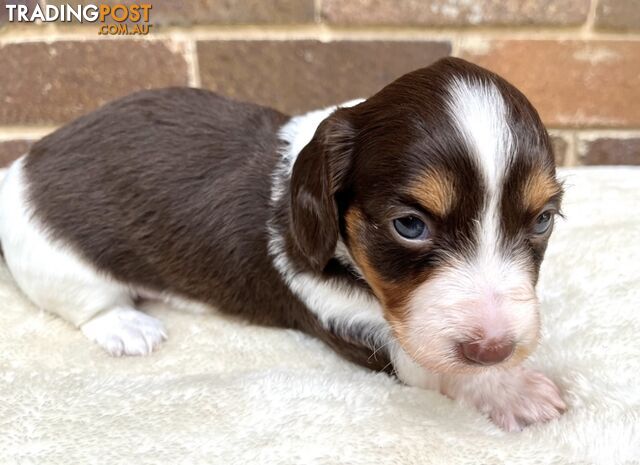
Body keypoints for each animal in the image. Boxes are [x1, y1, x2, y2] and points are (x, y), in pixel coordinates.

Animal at [0, 56, 564, 430]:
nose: (495, 349)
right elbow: (431, 365)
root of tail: (20, 168)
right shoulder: (348, 323)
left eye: (542, 221)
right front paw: (511, 388)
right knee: (87, 304)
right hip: (57, 262)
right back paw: (127, 326)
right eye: (409, 225)